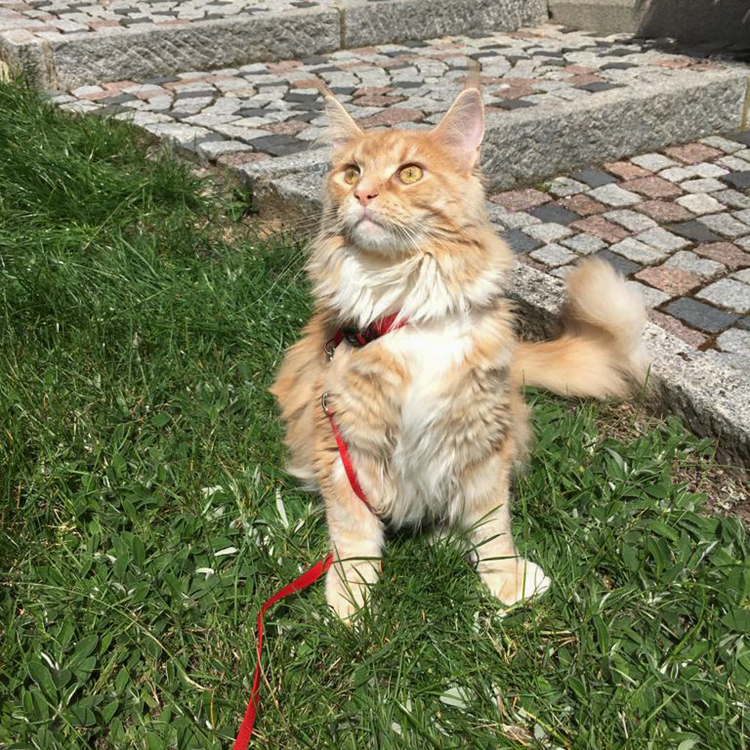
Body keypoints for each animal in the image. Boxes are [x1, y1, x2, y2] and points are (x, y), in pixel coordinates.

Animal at [270, 73, 647, 620]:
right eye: (351, 172)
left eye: (409, 173)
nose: (362, 193)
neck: (405, 306)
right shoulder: (342, 438)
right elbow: (354, 530)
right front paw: (351, 600)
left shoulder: (481, 435)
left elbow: (492, 525)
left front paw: (505, 581)